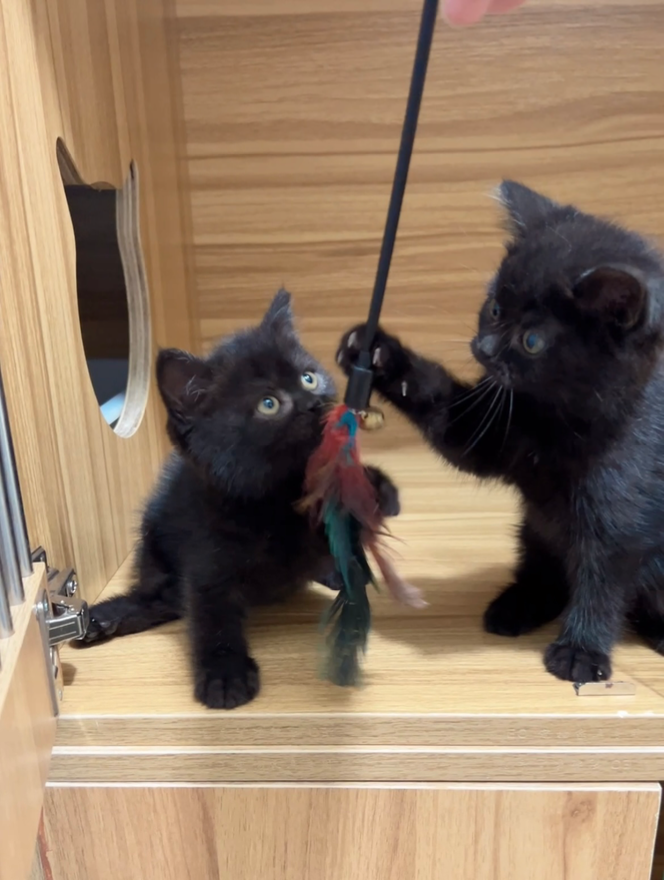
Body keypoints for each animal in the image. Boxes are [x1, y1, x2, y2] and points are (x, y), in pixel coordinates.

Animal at [77, 290, 400, 709]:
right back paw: (103, 619)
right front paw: (225, 673)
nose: (316, 405)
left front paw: (376, 489)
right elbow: (211, 615)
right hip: (155, 539)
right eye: (268, 403)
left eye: (308, 378)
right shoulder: (207, 556)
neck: (274, 500)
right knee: (163, 598)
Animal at [337, 180, 664, 684]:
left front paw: (581, 649)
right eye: (493, 308)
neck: (558, 420)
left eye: (532, 340)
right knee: (545, 566)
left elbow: (603, 581)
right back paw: (517, 604)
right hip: (535, 526)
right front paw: (378, 352)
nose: (484, 347)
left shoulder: (624, 515)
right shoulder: (500, 427)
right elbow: (456, 426)